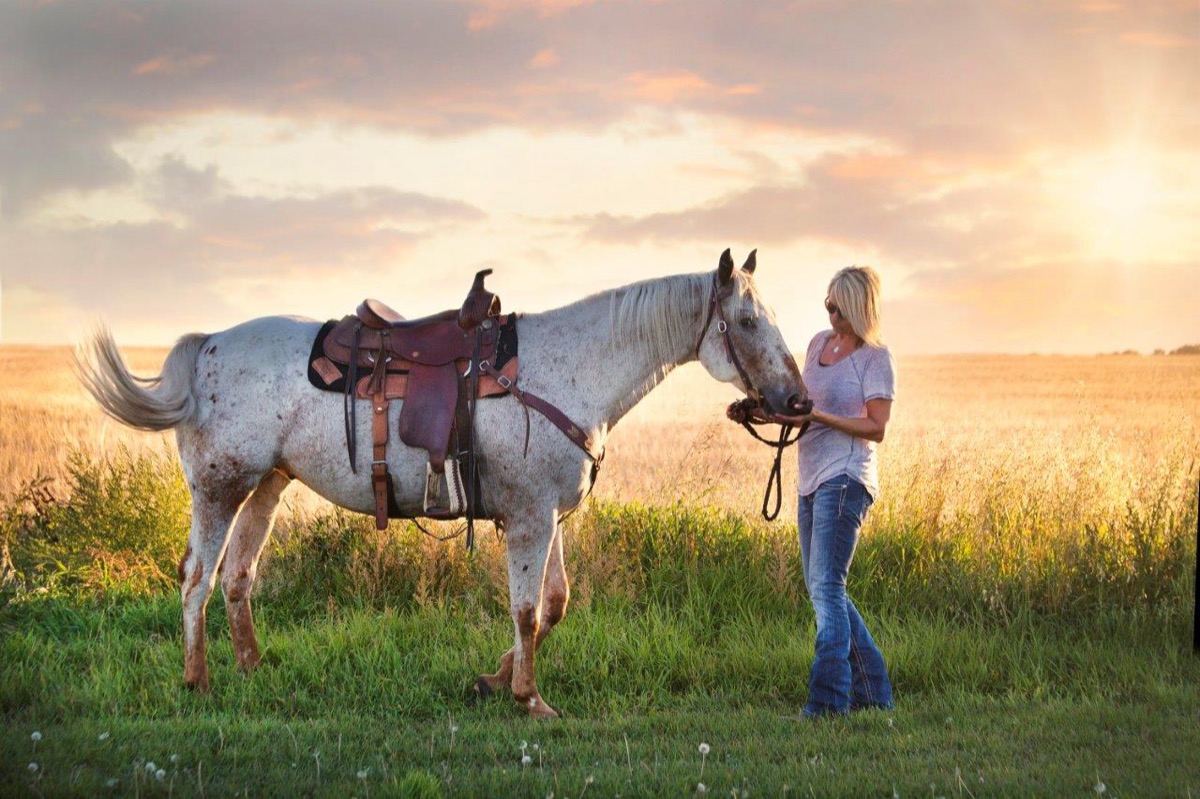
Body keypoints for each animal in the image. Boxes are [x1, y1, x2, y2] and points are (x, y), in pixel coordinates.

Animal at [76, 248, 806, 718]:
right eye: (746, 323)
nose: (796, 400)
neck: (571, 369)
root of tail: (207, 345)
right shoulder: (531, 517)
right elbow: (527, 608)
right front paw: (529, 699)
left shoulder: (546, 515)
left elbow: (556, 603)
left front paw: (493, 679)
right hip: (219, 489)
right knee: (196, 578)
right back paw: (197, 681)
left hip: (268, 486)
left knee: (237, 576)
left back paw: (253, 667)